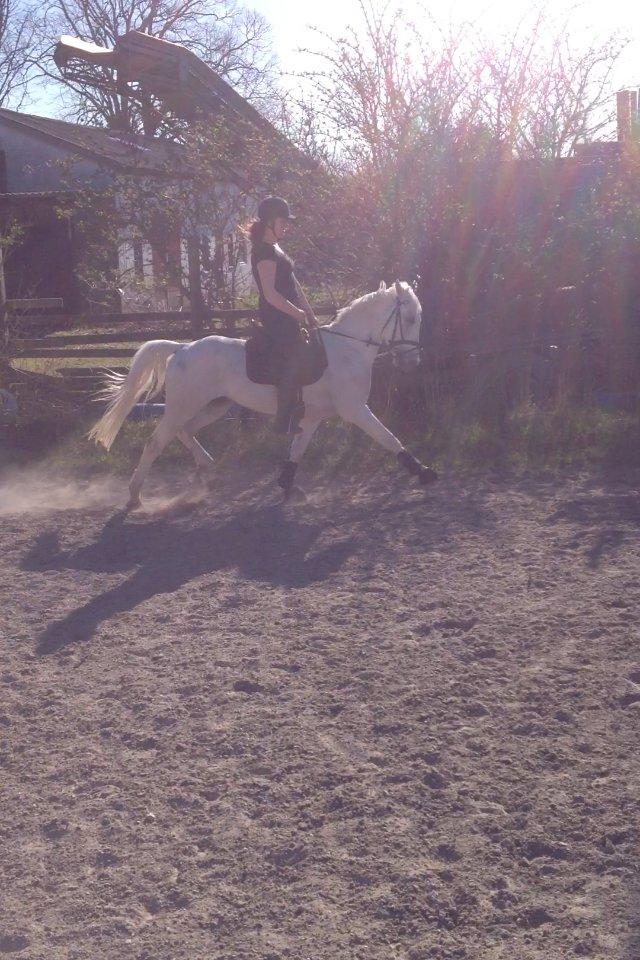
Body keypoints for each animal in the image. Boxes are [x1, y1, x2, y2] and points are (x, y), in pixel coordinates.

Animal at [89, 280, 438, 509]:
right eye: (410, 318)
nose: (413, 362)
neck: (347, 348)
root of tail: (181, 348)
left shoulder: (312, 416)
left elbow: (297, 450)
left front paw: (288, 486)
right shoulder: (354, 409)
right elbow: (389, 438)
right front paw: (423, 473)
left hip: (214, 405)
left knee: (184, 432)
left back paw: (207, 471)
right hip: (182, 406)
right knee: (156, 442)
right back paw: (135, 495)